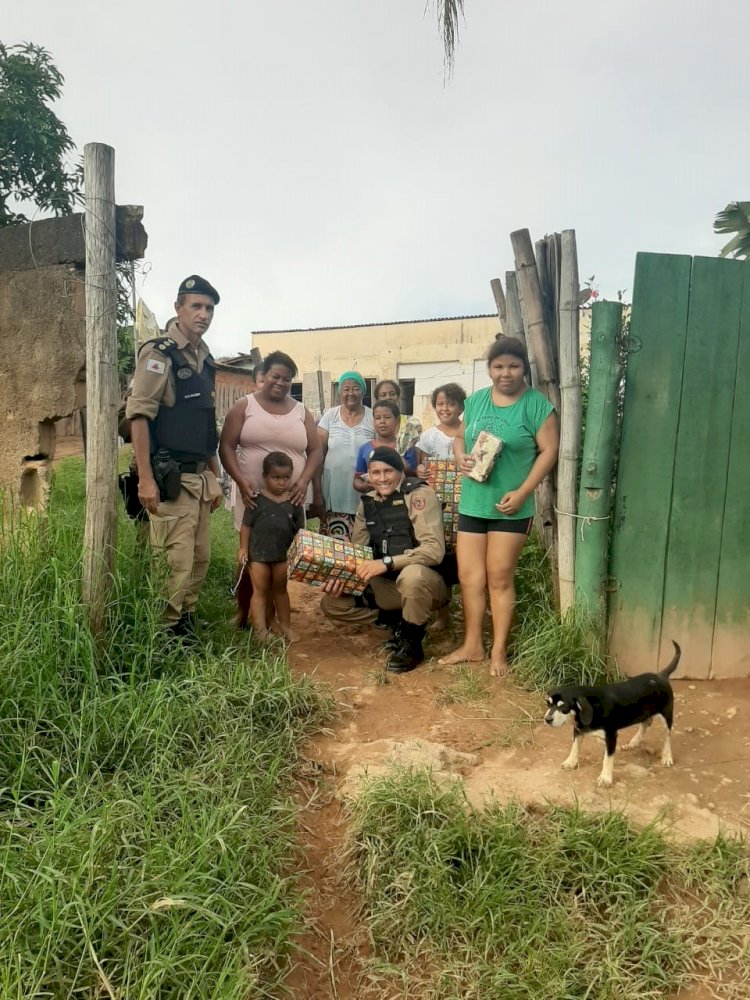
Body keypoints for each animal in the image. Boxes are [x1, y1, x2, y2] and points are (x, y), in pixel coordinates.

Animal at [548, 640, 680, 788]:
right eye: (548, 704)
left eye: (563, 707)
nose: (547, 719)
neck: (591, 706)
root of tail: (661, 676)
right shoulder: (578, 729)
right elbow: (575, 747)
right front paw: (570, 762)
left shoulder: (611, 735)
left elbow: (607, 758)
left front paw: (605, 777)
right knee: (646, 722)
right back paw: (633, 742)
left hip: (666, 715)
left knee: (667, 736)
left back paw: (667, 757)